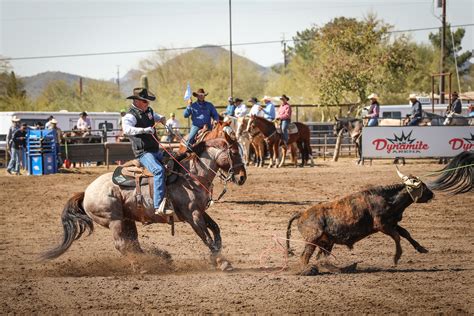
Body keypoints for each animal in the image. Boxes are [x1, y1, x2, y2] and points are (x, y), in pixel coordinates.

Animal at [43, 136, 248, 272]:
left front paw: (216, 258)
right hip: (114, 220)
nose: (242, 177)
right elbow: (207, 237)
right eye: (234, 152)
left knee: (133, 244)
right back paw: (142, 266)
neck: (191, 175)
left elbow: (216, 229)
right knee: (122, 245)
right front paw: (222, 262)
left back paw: (160, 258)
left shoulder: (200, 211)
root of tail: (86, 192)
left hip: (127, 220)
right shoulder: (193, 216)